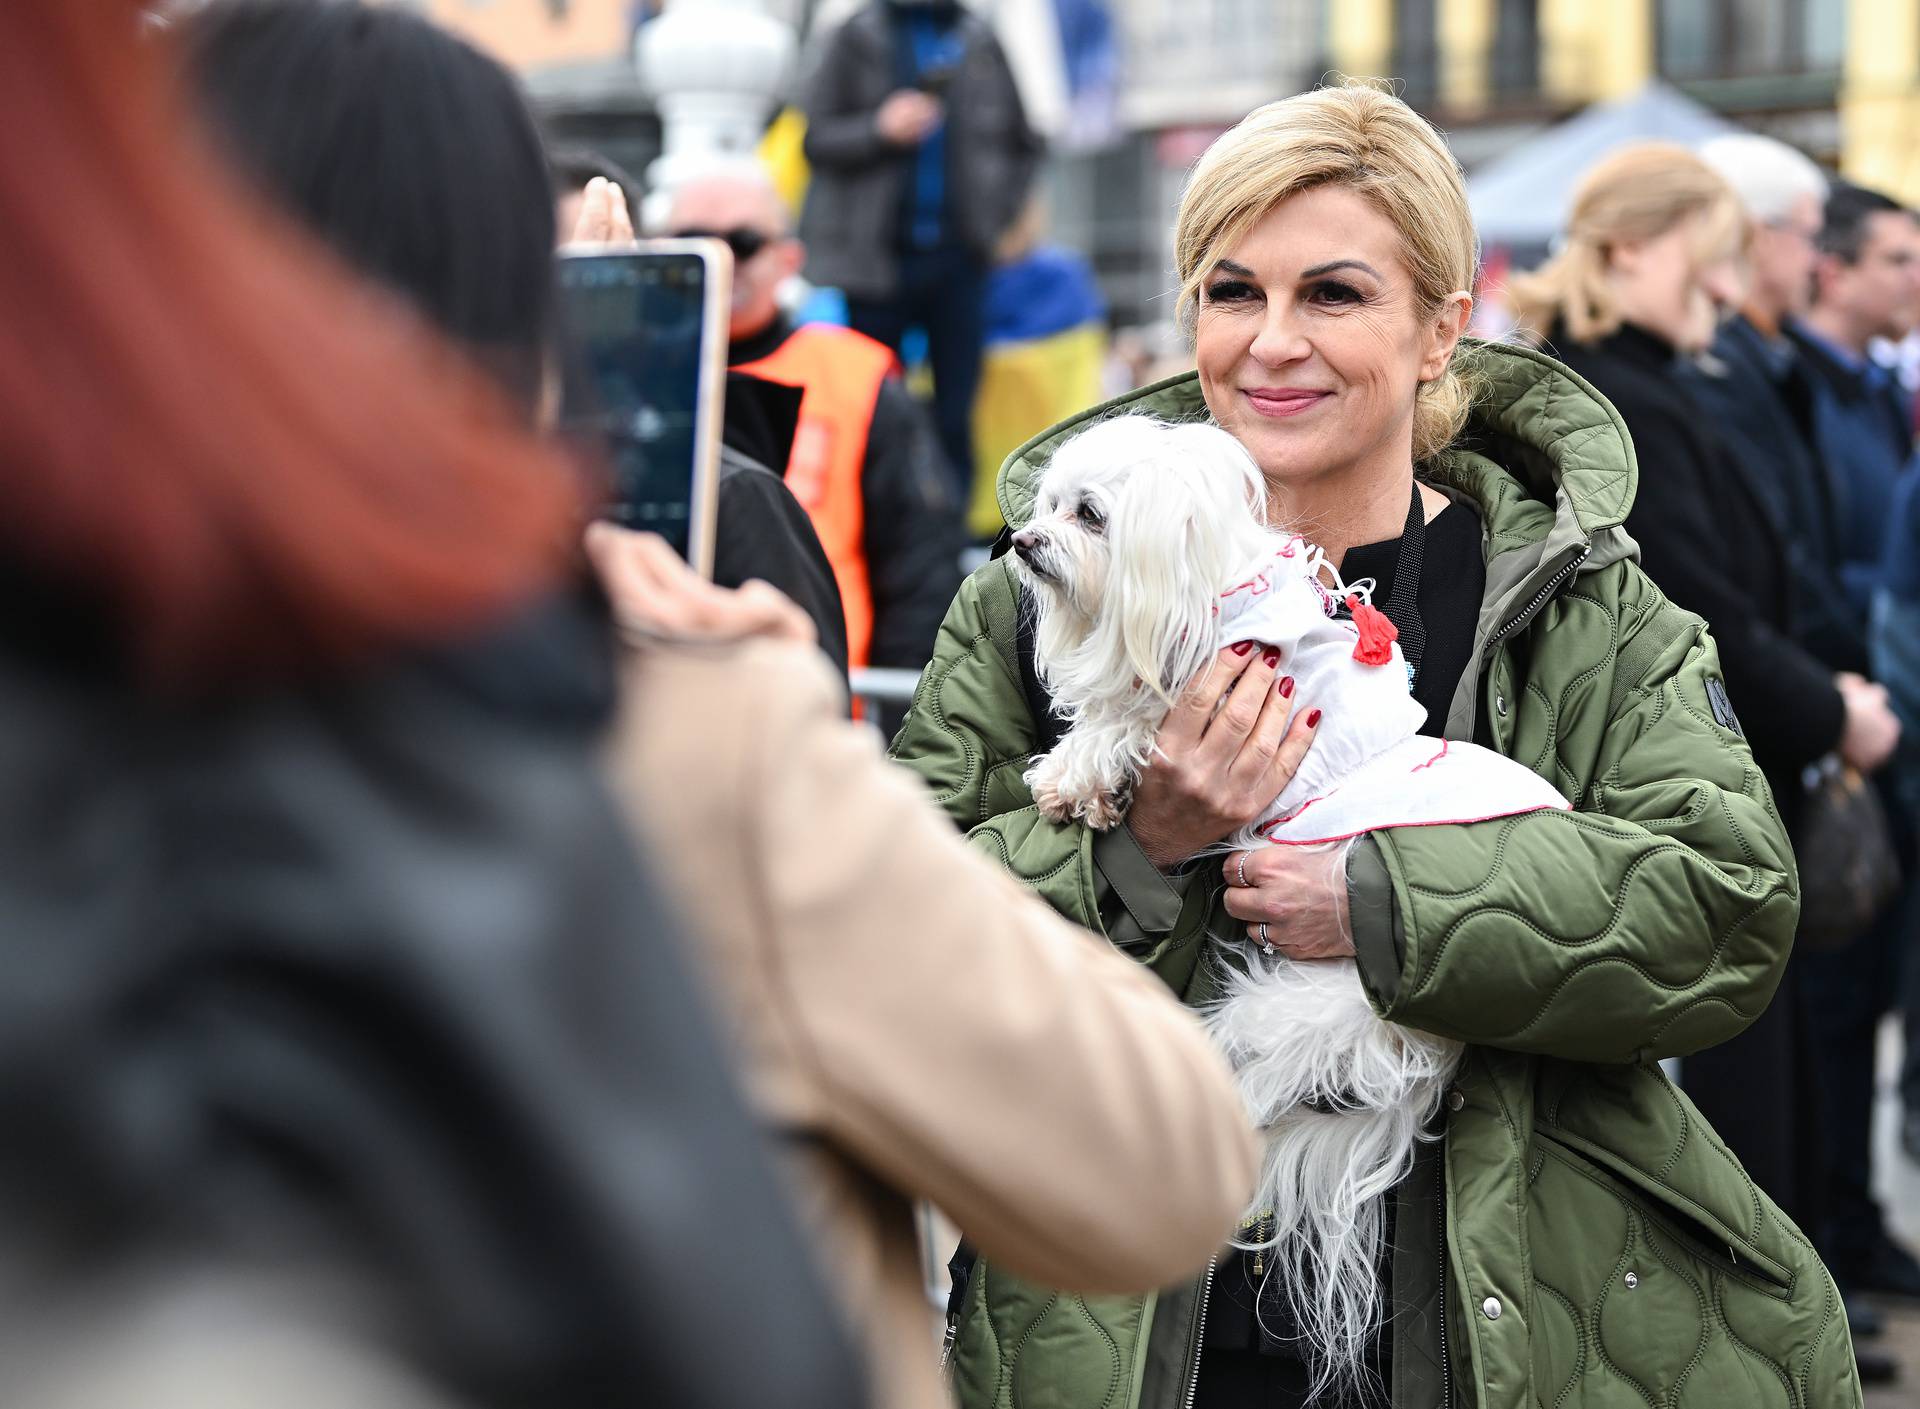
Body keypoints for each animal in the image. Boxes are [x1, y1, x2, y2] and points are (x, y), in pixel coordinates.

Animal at [1013, 414, 1566, 1397]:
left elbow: (1123, 723)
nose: (1021, 543)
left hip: (1283, 1012)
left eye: (1089, 515)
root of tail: (1428, 1045)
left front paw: (1073, 778)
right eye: (1046, 505)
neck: (1204, 585)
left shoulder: (1199, 694)